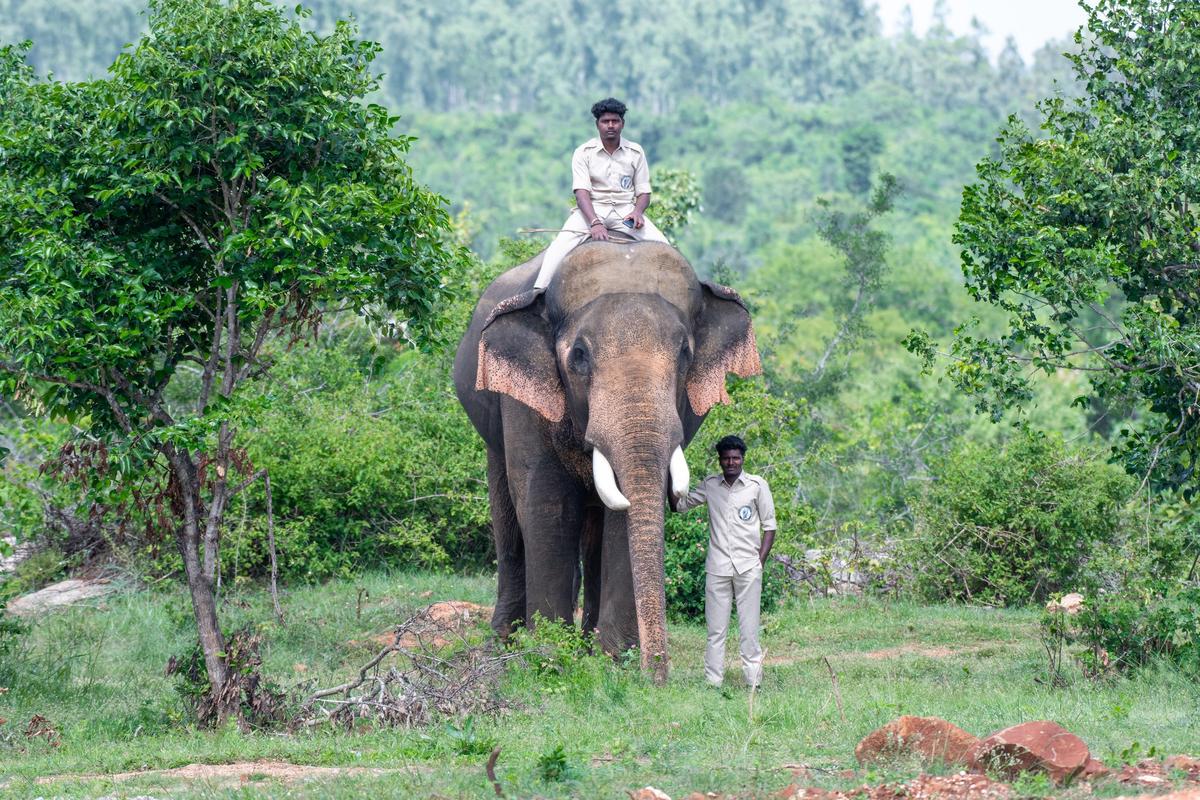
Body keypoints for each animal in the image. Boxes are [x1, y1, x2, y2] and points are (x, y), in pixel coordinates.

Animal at [453, 240, 761, 683]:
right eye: (579, 356)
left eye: (685, 353)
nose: (658, 679)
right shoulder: (523, 402)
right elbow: (547, 504)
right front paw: (548, 660)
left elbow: (624, 520)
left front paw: (615, 662)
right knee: (508, 522)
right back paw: (502, 648)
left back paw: (586, 648)